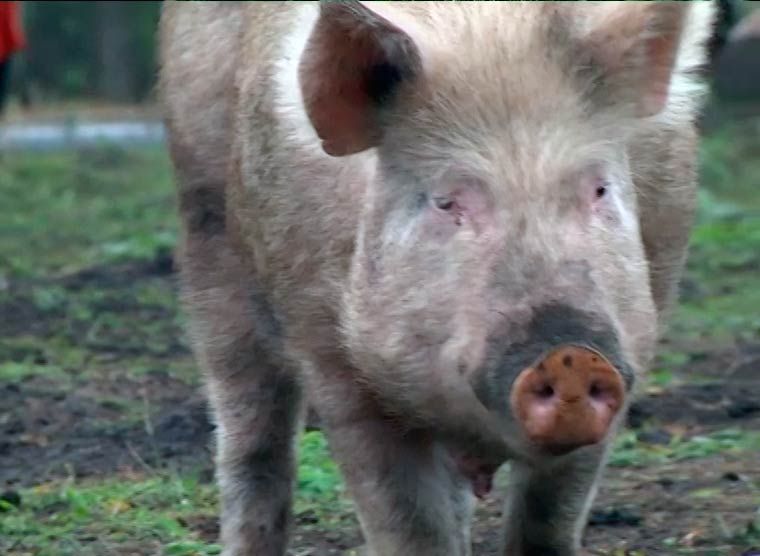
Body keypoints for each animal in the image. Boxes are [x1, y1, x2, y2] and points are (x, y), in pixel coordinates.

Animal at [157, 2, 716, 552]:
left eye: (599, 189)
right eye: (446, 202)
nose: (570, 354)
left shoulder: (634, 342)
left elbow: (548, 520)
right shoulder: (332, 359)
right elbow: (408, 525)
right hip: (207, 237)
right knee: (253, 440)